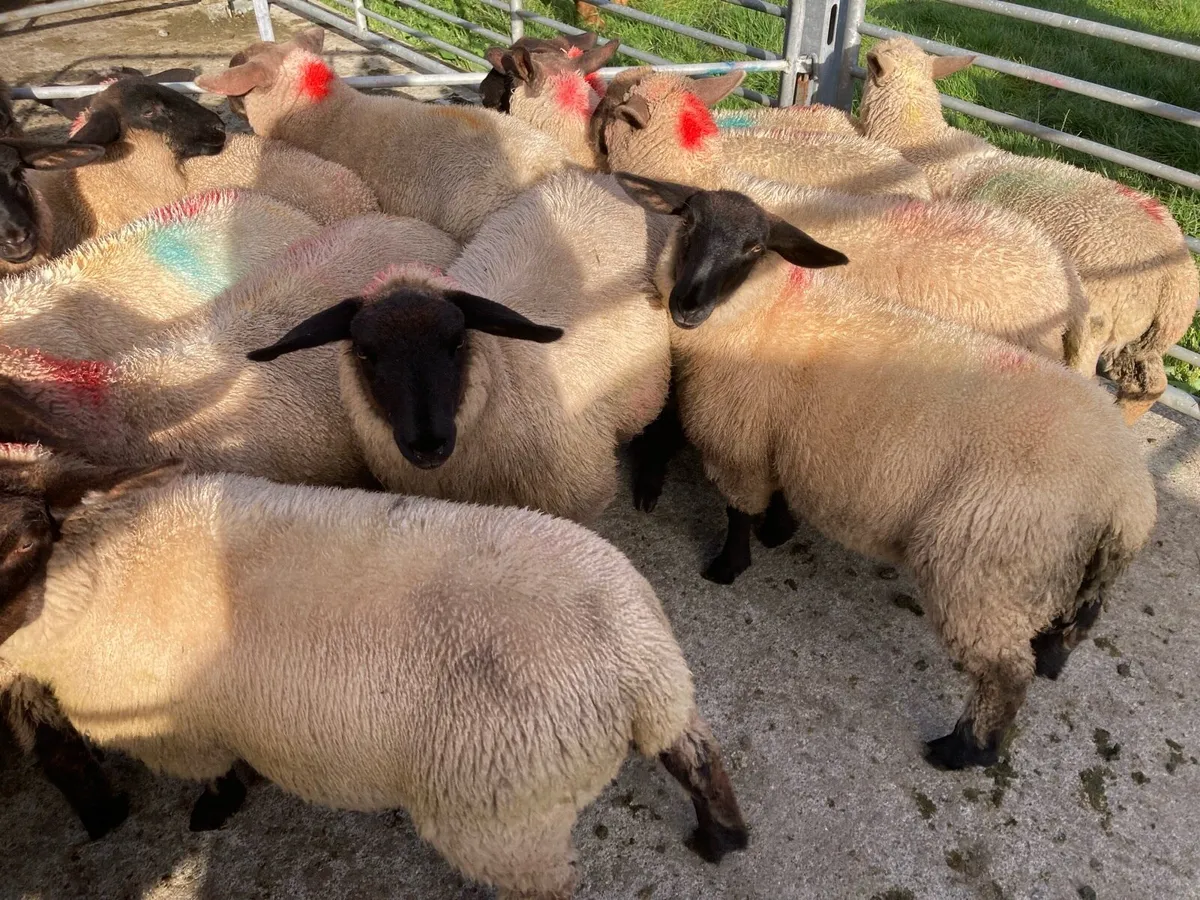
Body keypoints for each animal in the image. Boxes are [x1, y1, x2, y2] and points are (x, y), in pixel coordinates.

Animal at [0, 441, 748, 894]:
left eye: (26, 539)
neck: (99, 569)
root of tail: (636, 664)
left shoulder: (180, 734)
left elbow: (217, 777)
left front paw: (214, 812)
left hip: (505, 819)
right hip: (657, 699)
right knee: (698, 754)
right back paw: (723, 838)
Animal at [617, 172, 1157, 769]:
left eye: (754, 249)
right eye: (687, 221)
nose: (687, 306)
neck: (768, 311)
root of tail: (1127, 495)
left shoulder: (739, 444)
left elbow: (738, 512)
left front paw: (727, 566)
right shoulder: (787, 441)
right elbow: (779, 498)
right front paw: (779, 532)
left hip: (982, 564)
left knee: (1003, 675)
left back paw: (962, 750)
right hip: (1057, 564)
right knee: (1077, 621)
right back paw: (1050, 660)